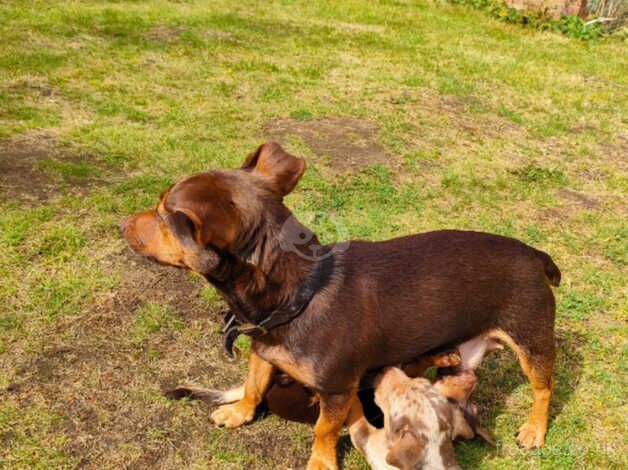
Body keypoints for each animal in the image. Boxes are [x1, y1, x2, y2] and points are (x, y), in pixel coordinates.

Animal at [121, 141, 560, 468]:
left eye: (164, 214)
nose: (122, 224)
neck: (300, 293)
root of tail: (535, 254)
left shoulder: (336, 389)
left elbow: (324, 429)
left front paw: (320, 462)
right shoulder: (263, 351)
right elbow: (254, 383)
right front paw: (240, 412)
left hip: (533, 342)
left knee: (544, 388)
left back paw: (534, 430)